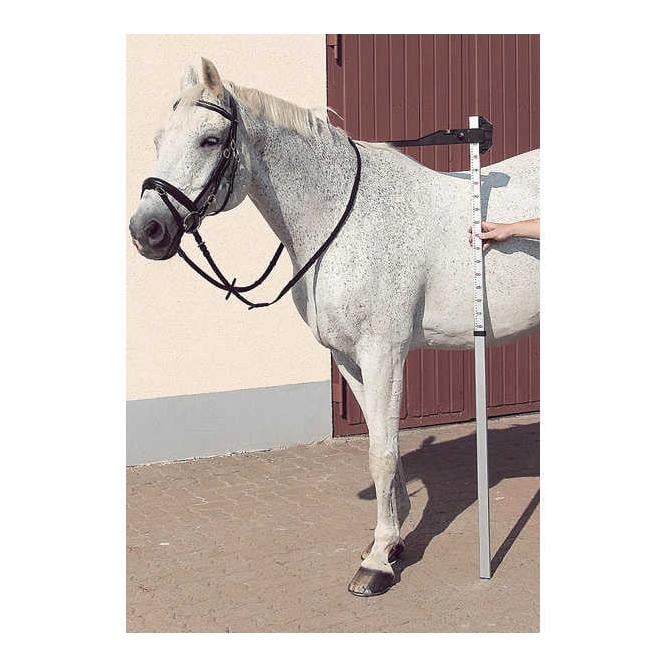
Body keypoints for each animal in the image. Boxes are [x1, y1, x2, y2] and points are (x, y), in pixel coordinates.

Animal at [129, 58, 540, 597]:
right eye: (159, 139)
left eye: (209, 140)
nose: (147, 230)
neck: (343, 219)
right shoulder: (347, 357)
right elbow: (382, 443)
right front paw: (390, 540)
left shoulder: (384, 352)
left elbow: (382, 452)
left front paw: (378, 564)